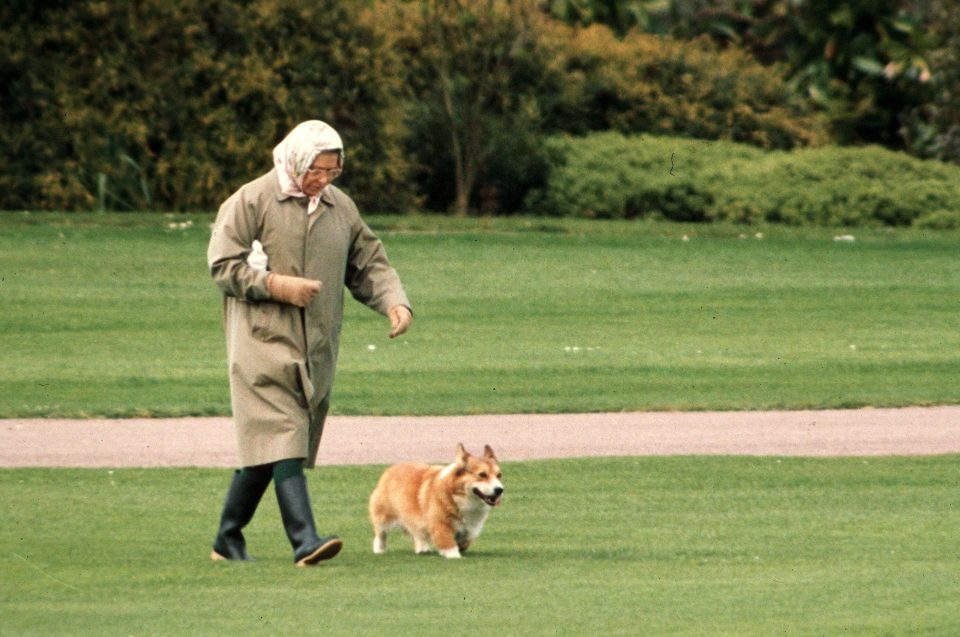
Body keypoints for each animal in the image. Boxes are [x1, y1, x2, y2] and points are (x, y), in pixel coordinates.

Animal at [368, 442, 502, 556]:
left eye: (499, 475)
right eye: (482, 475)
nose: (500, 490)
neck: (458, 496)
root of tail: (391, 469)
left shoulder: (470, 528)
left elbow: (465, 540)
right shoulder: (440, 525)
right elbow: (448, 543)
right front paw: (454, 556)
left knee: (417, 532)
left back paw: (422, 548)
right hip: (384, 516)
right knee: (381, 533)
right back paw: (379, 550)